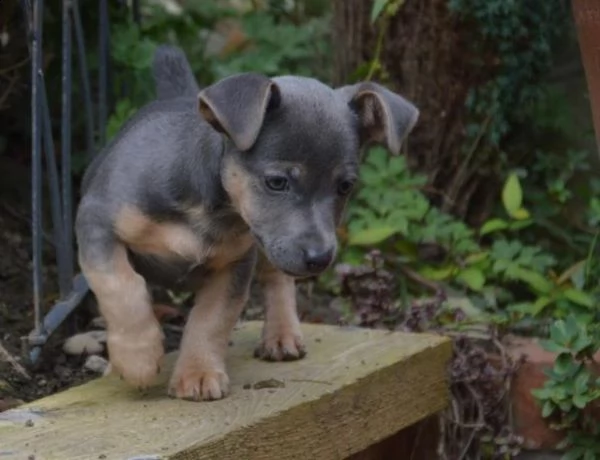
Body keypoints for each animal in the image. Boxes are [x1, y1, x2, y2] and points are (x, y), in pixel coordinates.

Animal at [75, 45, 420, 400]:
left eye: (346, 186)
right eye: (277, 182)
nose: (320, 258)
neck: (208, 207)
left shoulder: (236, 264)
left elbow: (210, 320)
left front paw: (198, 372)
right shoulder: (95, 223)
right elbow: (121, 286)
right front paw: (138, 358)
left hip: (267, 250)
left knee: (277, 280)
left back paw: (282, 335)